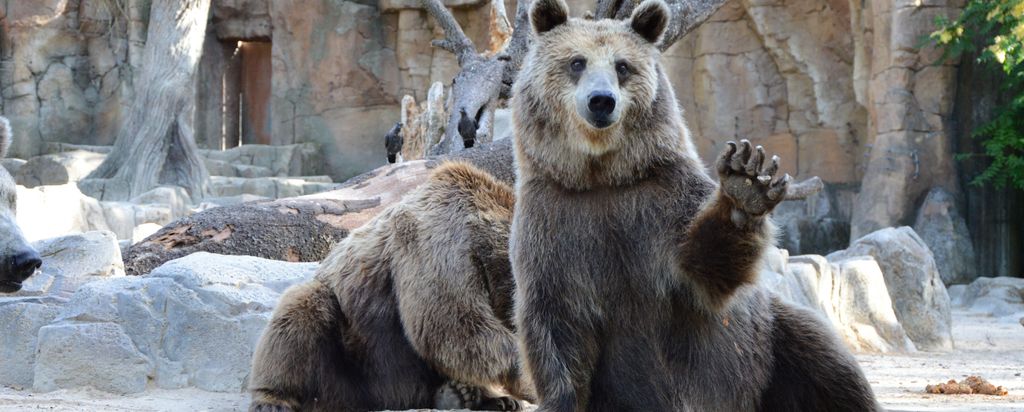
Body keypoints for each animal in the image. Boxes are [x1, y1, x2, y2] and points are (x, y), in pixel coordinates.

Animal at [248, 161, 533, 411]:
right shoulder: (440, 242)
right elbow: (450, 323)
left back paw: (474, 397)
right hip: (352, 362)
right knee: (300, 310)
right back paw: (274, 400)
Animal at [508, 0, 879, 411]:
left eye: (623, 66)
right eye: (577, 62)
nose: (601, 101)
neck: (601, 176)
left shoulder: (662, 203)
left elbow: (707, 269)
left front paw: (746, 182)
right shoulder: (555, 224)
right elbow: (556, 325)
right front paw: (559, 397)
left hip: (771, 348)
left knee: (828, 365)